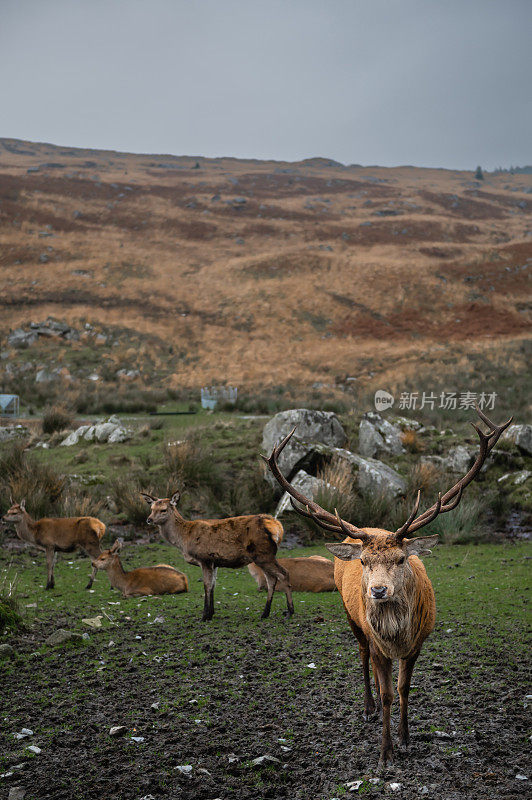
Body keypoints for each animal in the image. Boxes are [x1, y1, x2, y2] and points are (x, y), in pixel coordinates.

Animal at [140, 490, 296, 620]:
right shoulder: (214, 562)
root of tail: (278, 527)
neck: (183, 539)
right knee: (272, 579)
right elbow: (213, 585)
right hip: (263, 557)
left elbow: (206, 585)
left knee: (284, 573)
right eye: (151, 509)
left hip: (264, 555)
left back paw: (290, 611)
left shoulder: (204, 559)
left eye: (163, 509)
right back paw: (265, 613)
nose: (149, 519)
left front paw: (204, 616)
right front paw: (211, 612)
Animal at [266, 410, 512, 764]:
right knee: (362, 655)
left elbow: (403, 689)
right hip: (351, 617)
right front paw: (385, 752)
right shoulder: (377, 642)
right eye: (365, 562)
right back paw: (367, 708)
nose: (378, 591)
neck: (396, 635)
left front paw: (406, 739)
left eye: (400, 559)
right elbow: (386, 694)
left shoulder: (418, 643)